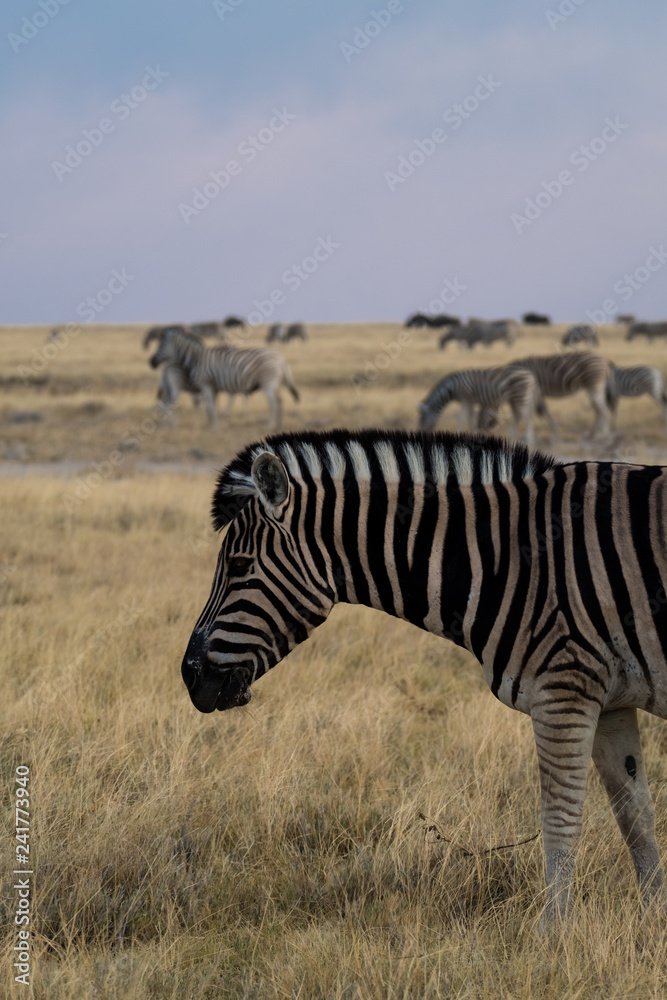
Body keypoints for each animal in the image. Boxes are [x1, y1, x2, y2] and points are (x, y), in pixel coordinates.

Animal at [148, 326, 299, 430]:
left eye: (161, 346)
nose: (151, 362)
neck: (197, 359)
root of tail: (281, 359)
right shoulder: (213, 387)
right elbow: (213, 406)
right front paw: (213, 424)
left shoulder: (206, 384)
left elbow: (210, 406)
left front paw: (213, 427)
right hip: (275, 384)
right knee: (280, 401)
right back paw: (278, 425)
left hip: (268, 382)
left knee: (273, 403)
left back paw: (270, 425)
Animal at [180, 428, 667, 924]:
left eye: (240, 566)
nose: (189, 676)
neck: (506, 559)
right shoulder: (609, 700)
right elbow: (636, 816)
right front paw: (651, 921)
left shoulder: (563, 691)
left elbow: (560, 819)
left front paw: (552, 931)